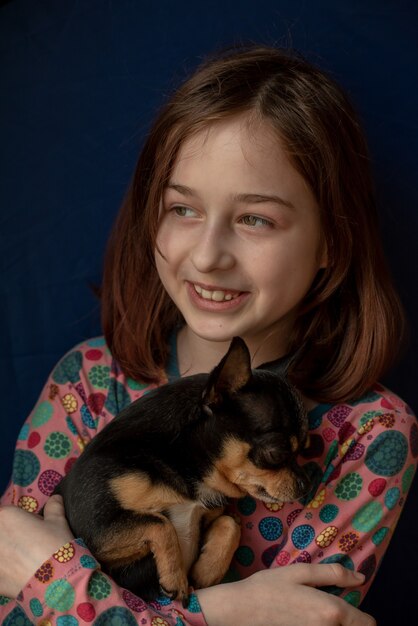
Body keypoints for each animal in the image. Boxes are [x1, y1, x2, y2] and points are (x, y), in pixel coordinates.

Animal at [55, 336, 308, 604]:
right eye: (276, 453)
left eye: (304, 449)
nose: (306, 484)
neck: (181, 459)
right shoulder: (93, 527)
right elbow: (159, 522)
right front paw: (175, 578)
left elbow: (230, 522)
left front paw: (206, 571)